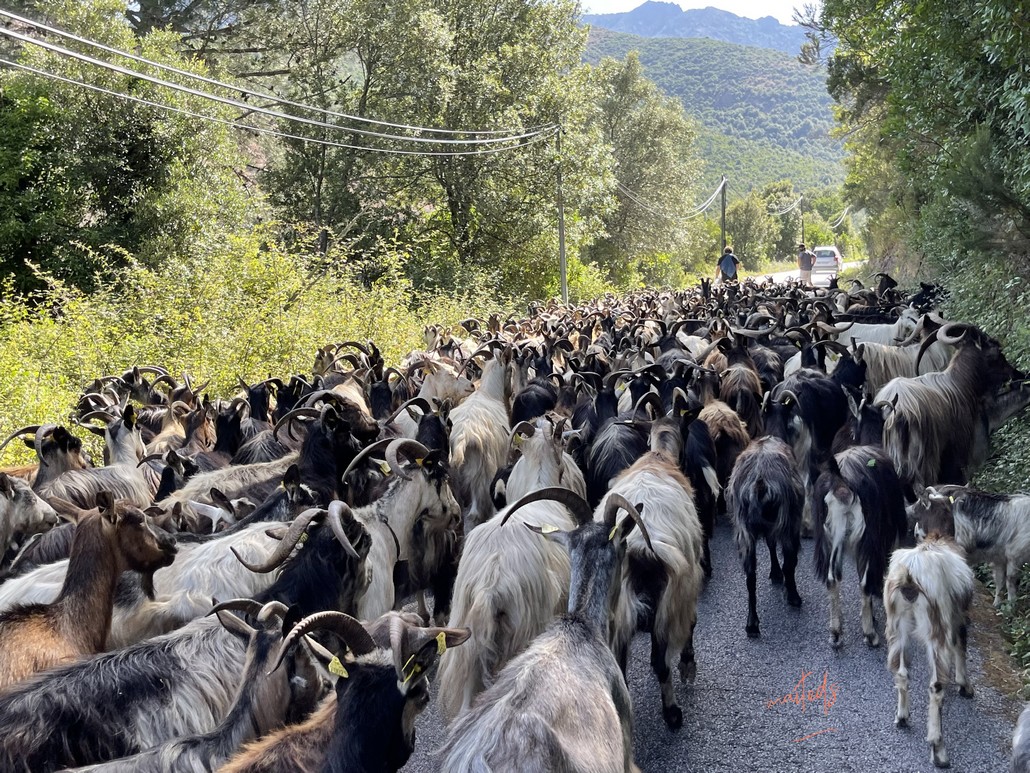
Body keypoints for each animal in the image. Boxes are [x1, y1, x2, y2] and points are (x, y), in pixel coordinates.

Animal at [729, 439, 807, 639]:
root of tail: (760, 484)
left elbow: (771, 546)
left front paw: (775, 573)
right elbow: (788, 561)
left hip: (745, 533)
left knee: (750, 578)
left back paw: (751, 624)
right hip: (788, 525)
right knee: (790, 562)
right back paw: (794, 596)